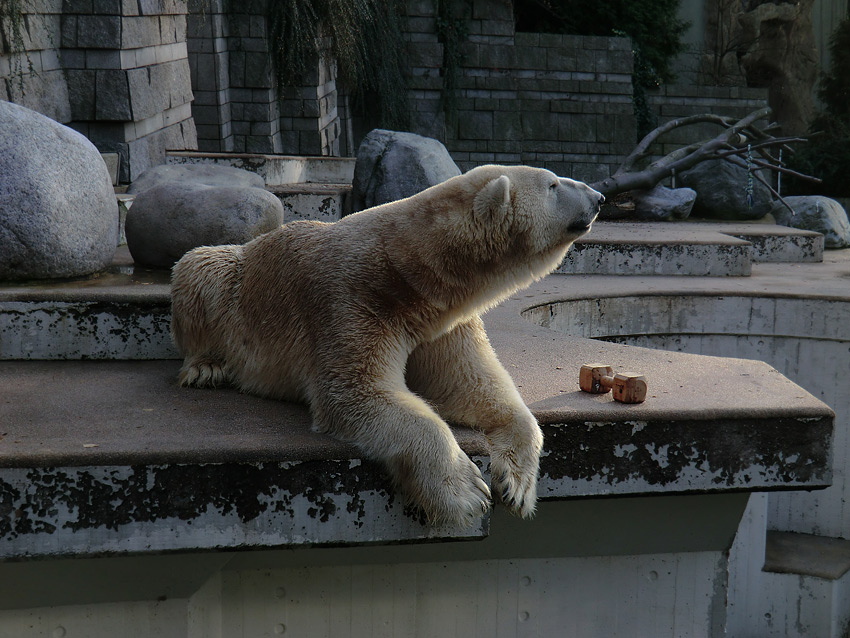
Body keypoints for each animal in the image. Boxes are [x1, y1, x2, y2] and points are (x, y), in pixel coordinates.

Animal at [169, 166, 600, 528]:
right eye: (554, 184)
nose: (599, 196)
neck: (406, 271)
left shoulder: (442, 324)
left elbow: (470, 384)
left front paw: (516, 485)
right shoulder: (353, 301)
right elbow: (359, 392)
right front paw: (467, 493)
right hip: (233, 282)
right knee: (200, 266)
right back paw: (206, 367)